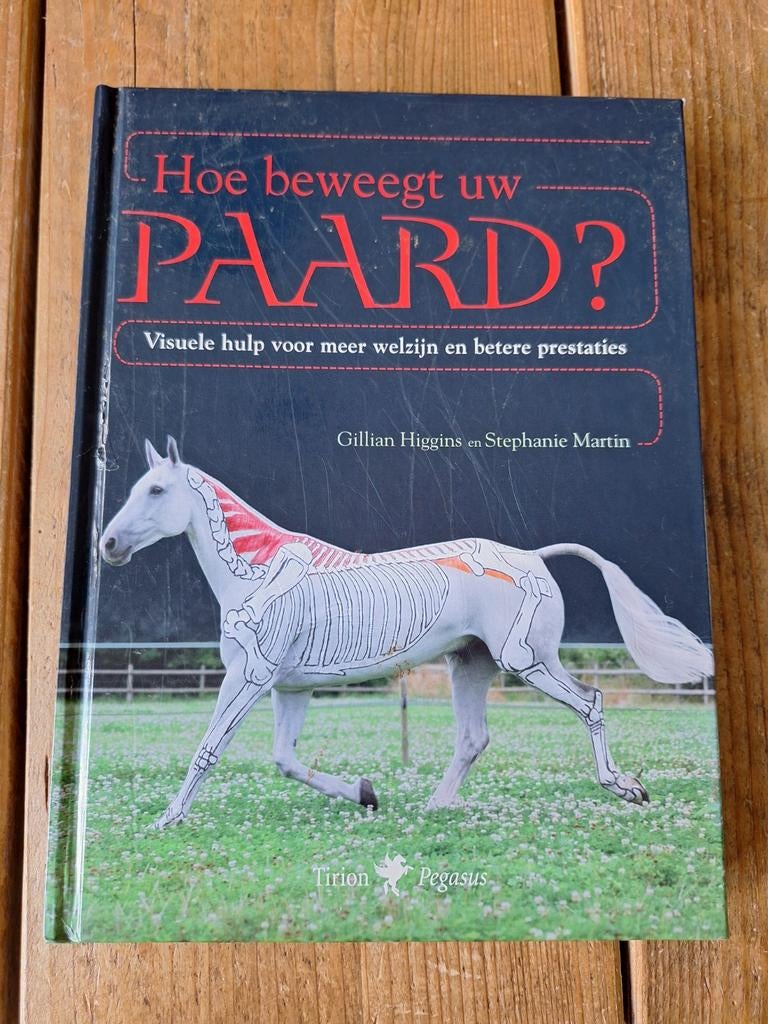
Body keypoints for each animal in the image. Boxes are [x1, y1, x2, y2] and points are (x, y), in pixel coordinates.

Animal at [99, 436, 713, 829]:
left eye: (156, 491)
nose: (109, 545)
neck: (258, 572)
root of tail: (534, 557)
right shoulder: (290, 687)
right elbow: (285, 760)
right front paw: (366, 794)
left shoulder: (248, 678)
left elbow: (209, 749)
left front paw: (168, 818)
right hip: (470, 664)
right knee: (473, 738)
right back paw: (435, 807)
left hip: (528, 662)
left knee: (590, 702)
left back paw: (626, 788)